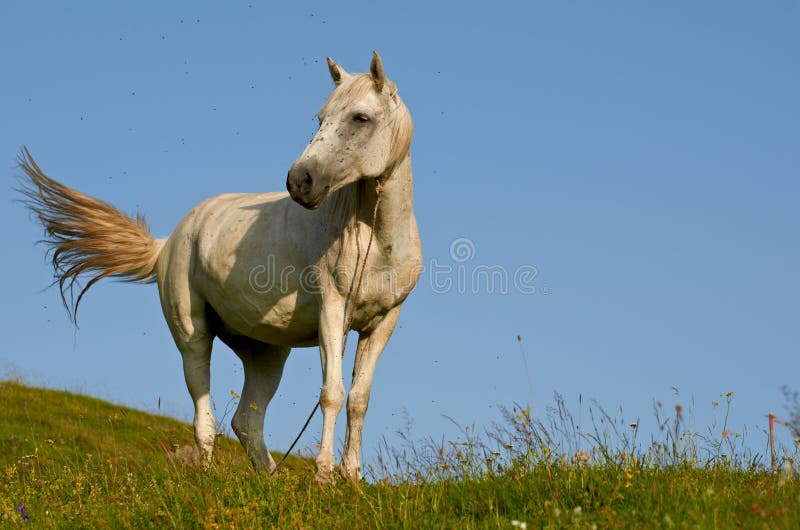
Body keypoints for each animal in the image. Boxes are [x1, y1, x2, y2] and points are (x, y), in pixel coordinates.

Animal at [19, 52, 422, 483]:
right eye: (321, 118)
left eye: (360, 117)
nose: (301, 181)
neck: (376, 240)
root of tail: (169, 242)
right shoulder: (333, 311)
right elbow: (332, 394)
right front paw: (325, 477)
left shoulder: (382, 322)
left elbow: (359, 399)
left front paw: (352, 478)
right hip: (193, 335)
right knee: (205, 417)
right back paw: (208, 477)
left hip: (266, 353)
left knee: (247, 423)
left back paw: (270, 481)